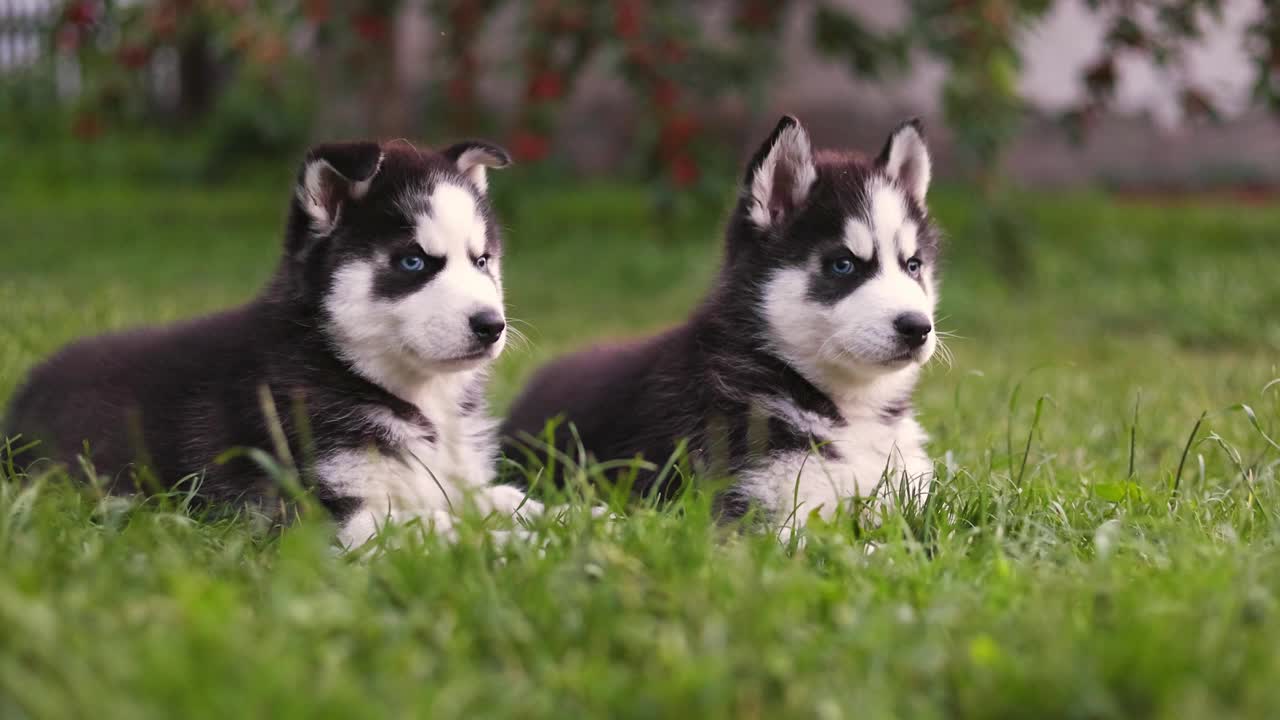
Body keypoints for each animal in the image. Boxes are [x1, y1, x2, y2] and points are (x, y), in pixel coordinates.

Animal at [1, 139, 540, 543]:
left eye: (481, 261)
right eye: (413, 262)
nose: (491, 325)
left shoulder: (450, 483)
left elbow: (505, 500)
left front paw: (558, 517)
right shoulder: (328, 515)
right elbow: (450, 530)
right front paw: (527, 546)